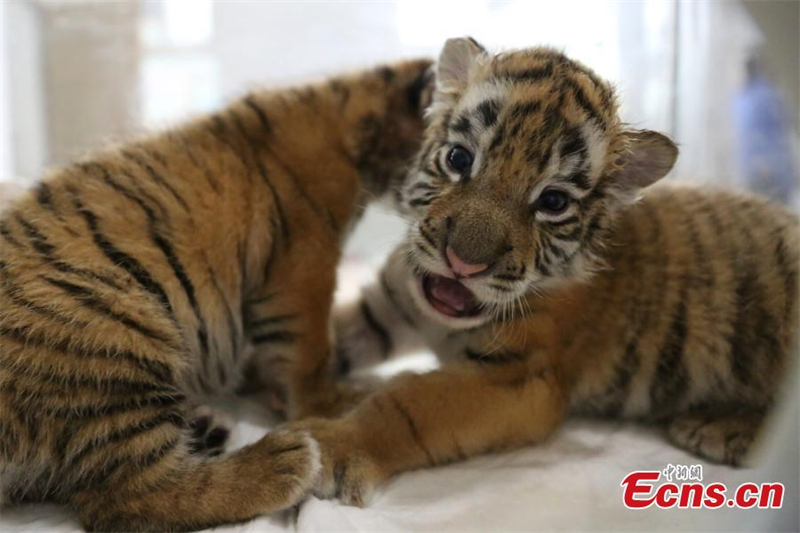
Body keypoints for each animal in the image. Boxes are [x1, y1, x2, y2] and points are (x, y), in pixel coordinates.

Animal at [0, 58, 433, 531]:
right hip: (112, 330)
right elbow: (309, 355)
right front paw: (335, 399)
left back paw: (207, 427)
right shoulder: (304, 265)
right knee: (124, 499)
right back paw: (282, 462)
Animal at [285, 38, 800, 506]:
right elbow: (334, 337)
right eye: (459, 159)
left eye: (553, 201)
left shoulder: (520, 379)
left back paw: (720, 429)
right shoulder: (393, 304)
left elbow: (410, 406)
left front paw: (333, 446)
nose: (463, 262)